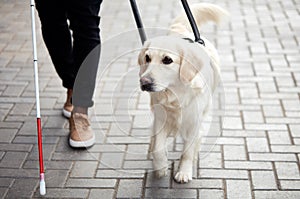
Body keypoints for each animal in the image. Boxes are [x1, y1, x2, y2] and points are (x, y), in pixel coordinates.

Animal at [138, 3, 227, 183]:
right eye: (147, 58)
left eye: (167, 60)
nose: (144, 82)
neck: (176, 94)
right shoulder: (161, 118)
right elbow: (158, 147)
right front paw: (160, 167)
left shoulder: (194, 123)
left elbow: (187, 151)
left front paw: (184, 171)